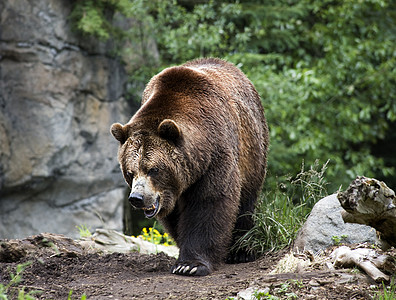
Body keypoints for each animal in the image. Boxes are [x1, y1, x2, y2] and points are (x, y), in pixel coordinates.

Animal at [110, 57, 268, 276]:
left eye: (153, 169)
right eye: (130, 172)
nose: (137, 198)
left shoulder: (216, 157)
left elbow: (209, 202)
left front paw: (190, 265)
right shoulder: (172, 190)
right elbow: (175, 216)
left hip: (253, 150)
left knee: (247, 200)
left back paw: (241, 251)